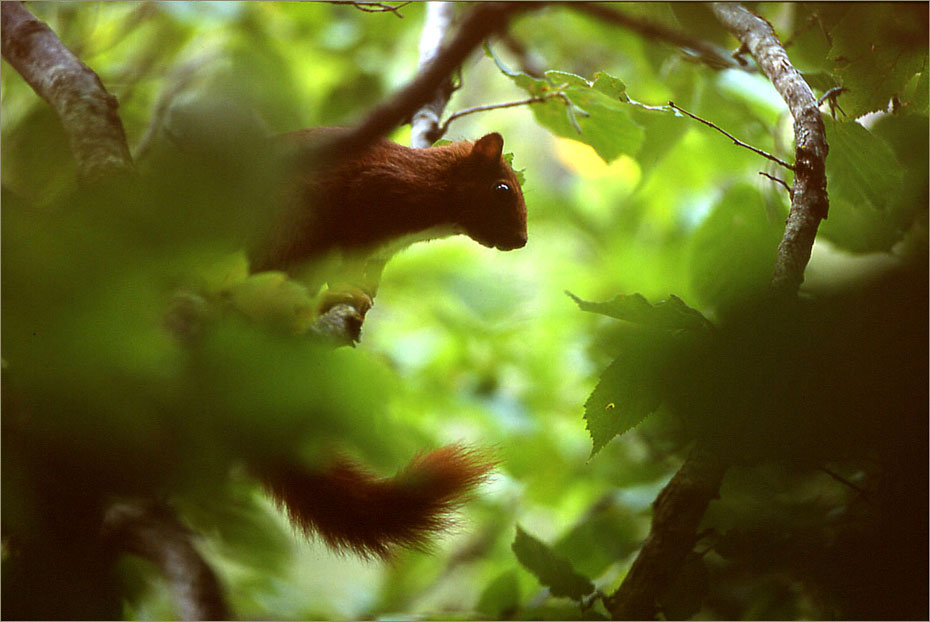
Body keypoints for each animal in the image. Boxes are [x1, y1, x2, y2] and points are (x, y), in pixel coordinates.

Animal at [245, 127, 520, 560]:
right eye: (502, 188)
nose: (522, 240)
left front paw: (366, 293)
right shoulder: (374, 190)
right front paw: (347, 288)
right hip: (288, 226)